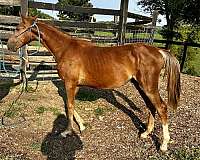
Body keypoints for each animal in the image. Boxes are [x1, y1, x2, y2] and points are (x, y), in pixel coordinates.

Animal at [7, 15, 180, 152]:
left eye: (17, 28)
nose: (9, 45)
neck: (65, 49)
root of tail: (159, 51)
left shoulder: (69, 83)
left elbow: (69, 106)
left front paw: (67, 131)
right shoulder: (75, 85)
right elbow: (71, 105)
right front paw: (82, 126)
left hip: (148, 86)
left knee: (161, 107)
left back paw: (164, 144)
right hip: (140, 85)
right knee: (151, 107)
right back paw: (145, 133)